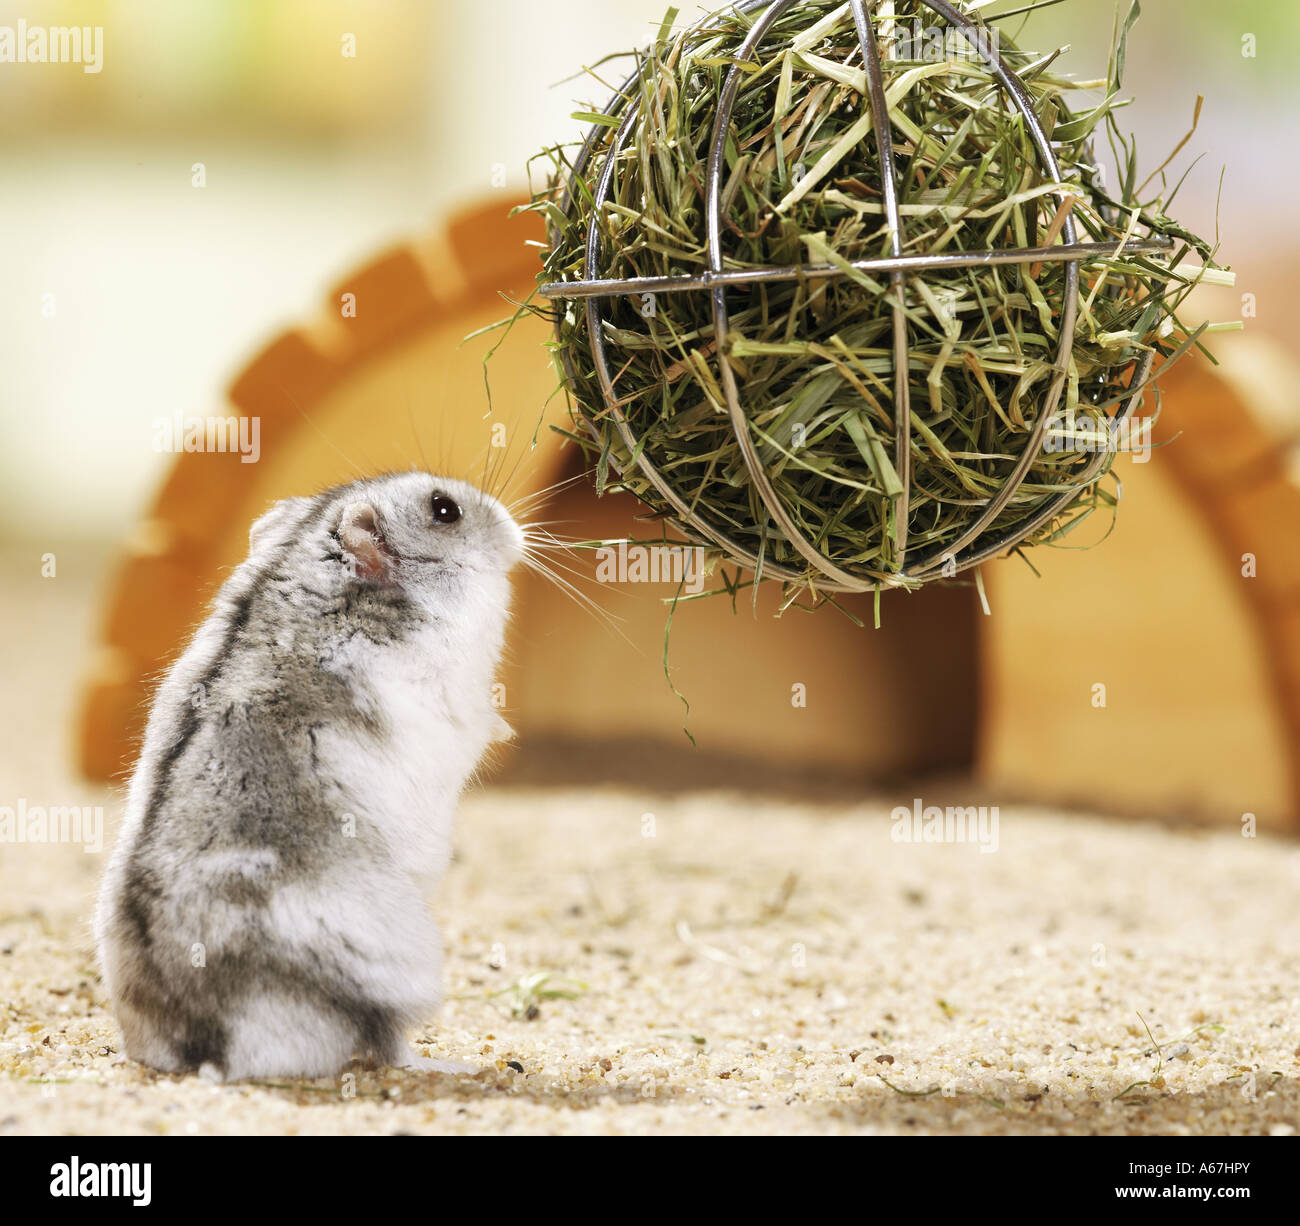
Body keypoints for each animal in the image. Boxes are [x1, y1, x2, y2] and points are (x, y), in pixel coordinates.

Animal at [95, 472, 523, 1082]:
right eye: (446, 510)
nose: (511, 524)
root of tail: (208, 1049)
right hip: (398, 960)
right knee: (386, 1042)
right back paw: (455, 1066)